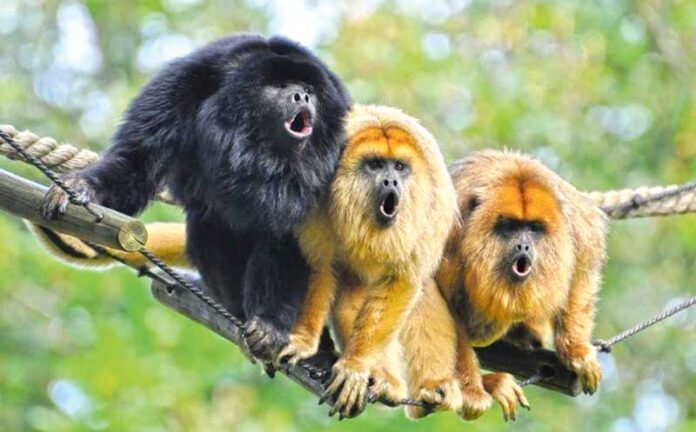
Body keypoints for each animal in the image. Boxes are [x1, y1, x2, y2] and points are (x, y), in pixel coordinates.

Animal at [40, 34, 352, 367]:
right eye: (279, 86)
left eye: (309, 90)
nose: (301, 96)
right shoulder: (181, 87)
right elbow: (137, 162)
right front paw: (81, 187)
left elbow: (294, 237)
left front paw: (270, 325)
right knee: (208, 229)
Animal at [276, 105, 460, 419]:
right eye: (374, 165)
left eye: (399, 167)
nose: (391, 181)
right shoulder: (317, 187)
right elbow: (318, 264)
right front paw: (303, 340)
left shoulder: (430, 207)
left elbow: (404, 279)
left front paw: (355, 366)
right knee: (348, 301)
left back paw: (417, 385)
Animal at [431, 149, 608, 420]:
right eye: (509, 226)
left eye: (533, 228)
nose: (523, 246)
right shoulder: (450, 233)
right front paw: (471, 392)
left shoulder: (574, 225)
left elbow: (584, 266)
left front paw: (576, 351)